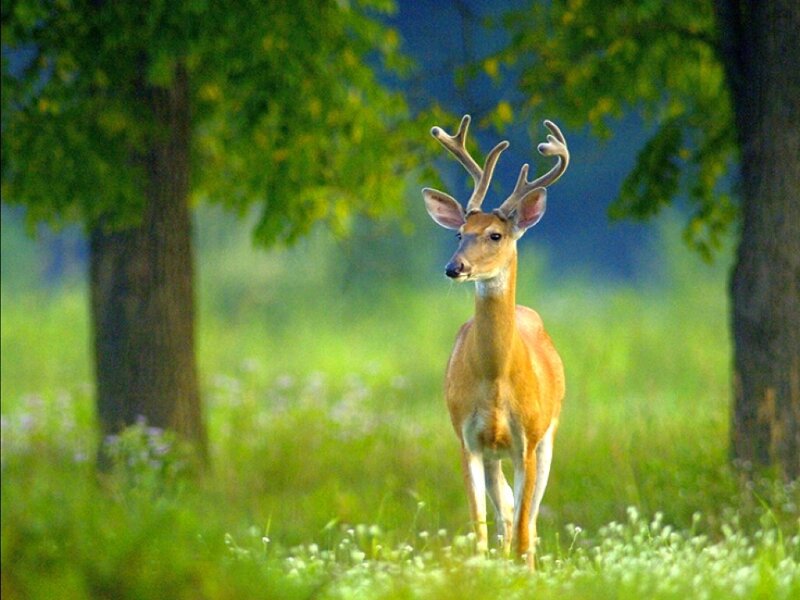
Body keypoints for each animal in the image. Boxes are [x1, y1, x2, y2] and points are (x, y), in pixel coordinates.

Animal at [422, 114, 568, 568]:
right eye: (459, 234)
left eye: (495, 235)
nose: (454, 268)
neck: (495, 379)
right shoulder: (467, 438)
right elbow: (481, 532)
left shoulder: (527, 438)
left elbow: (522, 532)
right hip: (493, 455)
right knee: (504, 516)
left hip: (548, 436)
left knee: (528, 524)